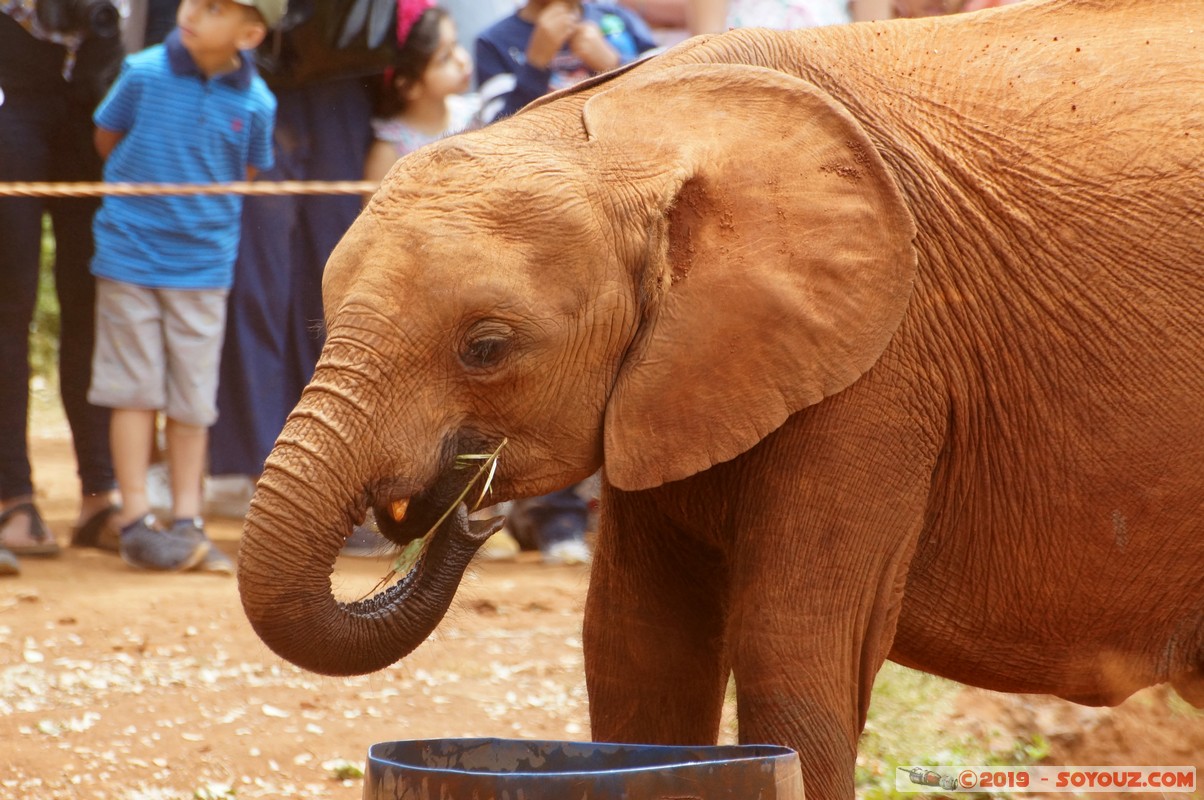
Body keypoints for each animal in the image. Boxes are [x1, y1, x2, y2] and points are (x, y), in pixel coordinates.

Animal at [237, 0, 1204, 796]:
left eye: (486, 348)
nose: (471, 506)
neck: (634, 129)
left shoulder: (885, 361)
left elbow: (795, 649)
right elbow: (636, 645)